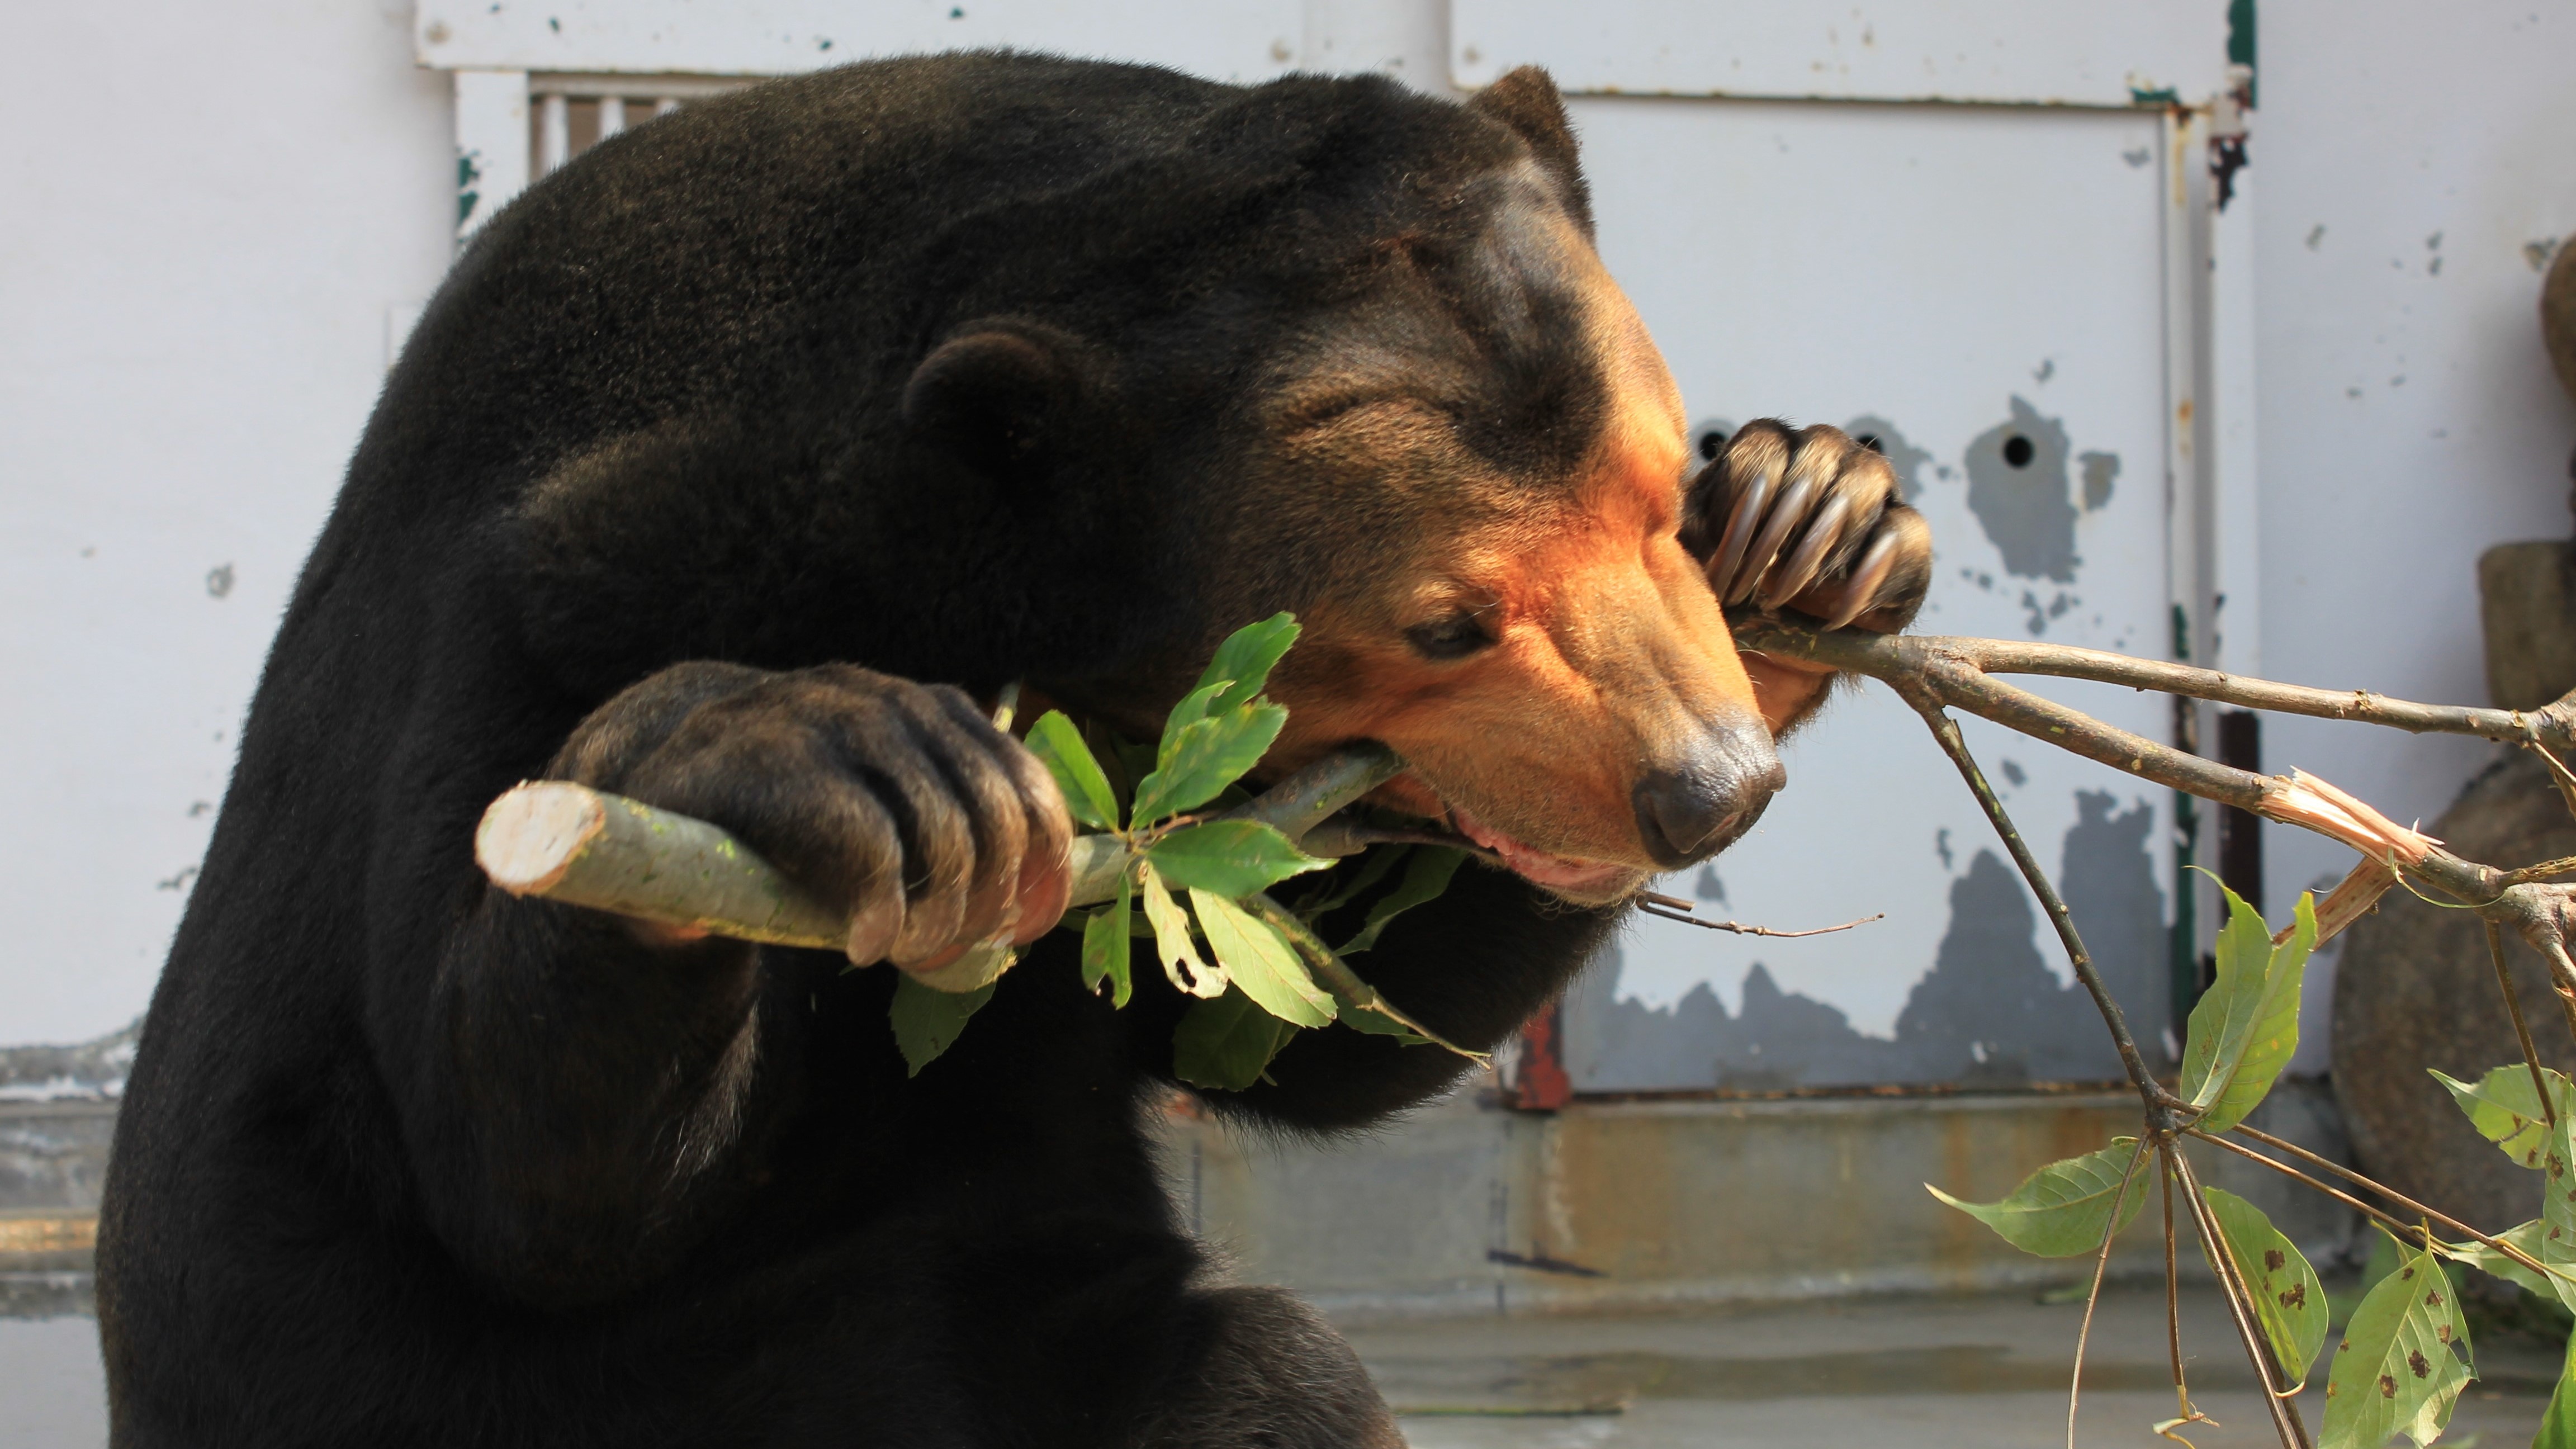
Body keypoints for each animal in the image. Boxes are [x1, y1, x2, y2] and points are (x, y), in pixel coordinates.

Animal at [95, 56, 1916, 1443]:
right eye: (1448, 624)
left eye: (1656, 496)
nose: (1705, 789)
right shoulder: (560, 567)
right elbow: (517, 1177)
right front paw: (833, 758)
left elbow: (1294, 1013)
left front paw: (1815, 519)